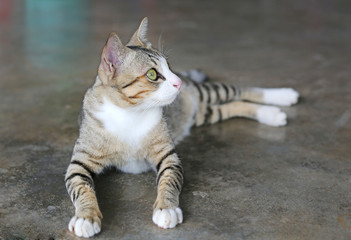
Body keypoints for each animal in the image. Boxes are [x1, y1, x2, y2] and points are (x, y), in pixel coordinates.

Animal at [64, 17, 298, 237]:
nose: (178, 82)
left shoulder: (168, 156)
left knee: (241, 90)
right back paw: (270, 113)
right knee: (231, 105)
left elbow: (170, 180)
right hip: (203, 114)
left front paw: (166, 209)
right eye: (152, 74)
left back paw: (283, 96)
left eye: (168, 65)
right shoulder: (79, 162)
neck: (130, 113)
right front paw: (86, 217)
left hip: (208, 92)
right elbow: (81, 188)